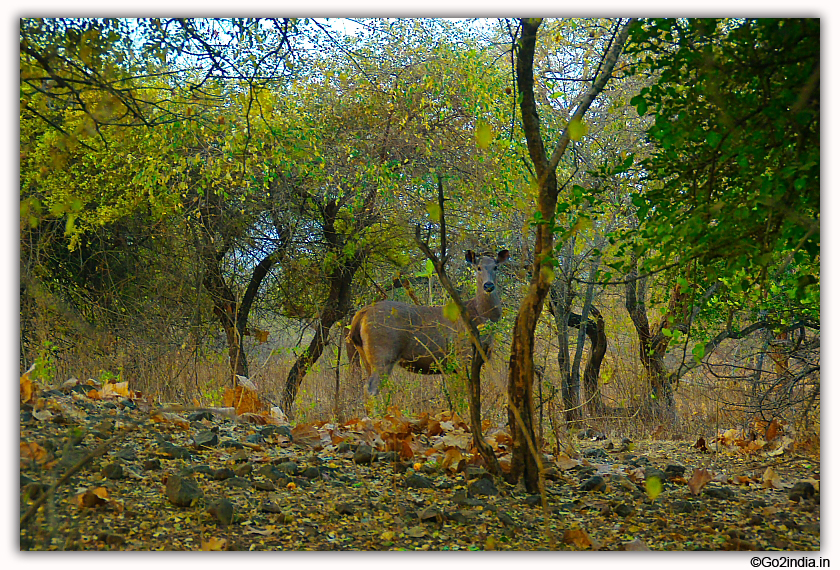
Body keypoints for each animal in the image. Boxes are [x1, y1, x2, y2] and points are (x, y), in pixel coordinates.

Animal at [344, 248, 508, 394]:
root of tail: (361, 314)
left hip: (364, 354)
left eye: (496, 267)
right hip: (383, 352)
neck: (479, 314)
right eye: (478, 267)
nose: (488, 285)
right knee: (370, 389)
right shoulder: (463, 354)